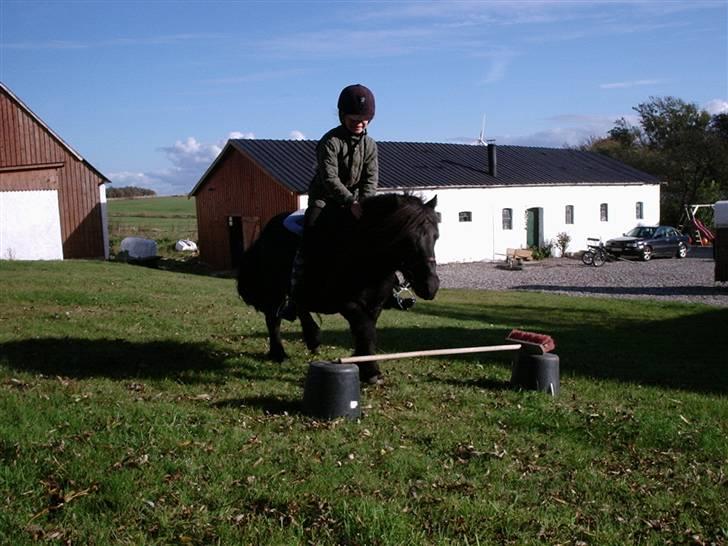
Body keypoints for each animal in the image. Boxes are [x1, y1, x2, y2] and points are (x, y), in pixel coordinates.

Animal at [237, 193, 438, 380]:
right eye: (405, 239)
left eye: (436, 236)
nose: (431, 285)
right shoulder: (347, 304)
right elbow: (365, 330)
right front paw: (370, 371)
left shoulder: (375, 305)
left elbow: (365, 331)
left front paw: (363, 363)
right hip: (274, 290)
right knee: (274, 318)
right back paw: (280, 353)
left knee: (298, 307)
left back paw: (311, 339)